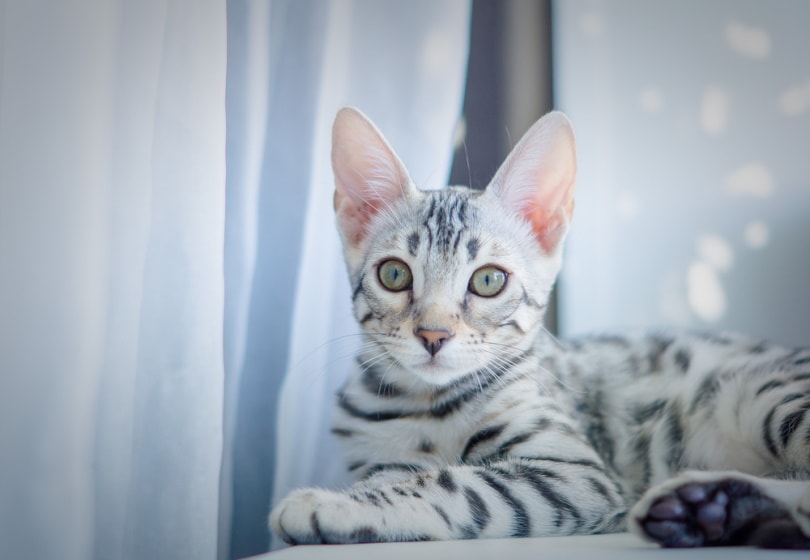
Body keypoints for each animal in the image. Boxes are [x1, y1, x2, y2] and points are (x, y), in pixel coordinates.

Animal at [270, 107, 808, 548]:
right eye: (395, 275)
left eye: (488, 280)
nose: (433, 335)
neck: (425, 406)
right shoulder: (378, 456)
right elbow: (401, 473)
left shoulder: (575, 475)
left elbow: (460, 484)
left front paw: (336, 504)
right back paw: (709, 508)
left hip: (762, 393)